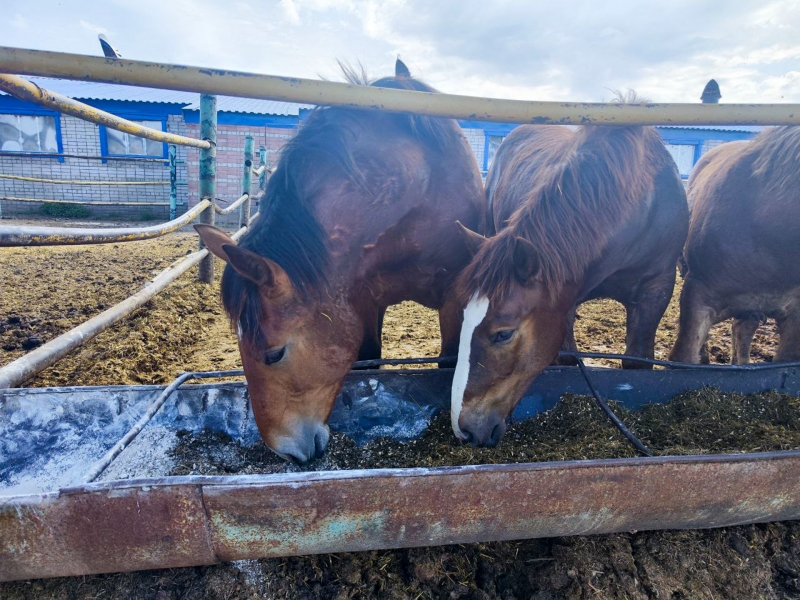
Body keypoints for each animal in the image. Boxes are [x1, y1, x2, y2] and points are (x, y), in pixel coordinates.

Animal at [196, 61, 484, 462]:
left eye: (274, 354)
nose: (284, 452)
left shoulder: (455, 297)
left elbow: (449, 362)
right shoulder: (361, 298)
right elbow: (368, 360)